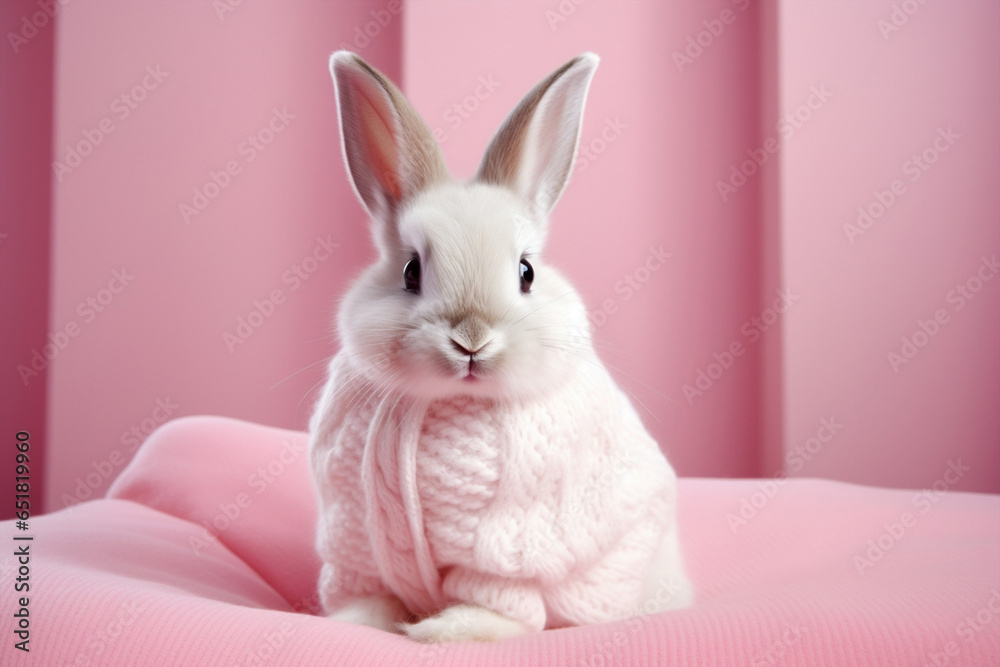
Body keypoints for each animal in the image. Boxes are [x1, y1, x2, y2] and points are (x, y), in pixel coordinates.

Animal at [308, 50, 694, 643]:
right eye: (410, 271)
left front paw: (450, 631)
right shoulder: (354, 538)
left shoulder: (505, 543)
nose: (471, 340)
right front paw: (355, 623)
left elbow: (499, 602)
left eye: (526, 272)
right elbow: (367, 594)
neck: (440, 400)